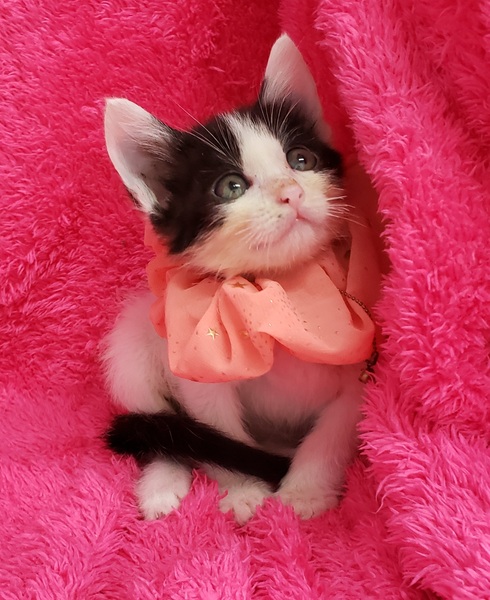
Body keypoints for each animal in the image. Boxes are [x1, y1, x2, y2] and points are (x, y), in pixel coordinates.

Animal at [102, 34, 374, 524]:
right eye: (230, 187)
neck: (278, 291)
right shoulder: (196, 357)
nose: (292, 192)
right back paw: (161, 484)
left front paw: (305, 492)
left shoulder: (363, 360)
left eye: (300, 160)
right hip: (133, 340)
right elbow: (216, 432)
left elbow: (334, 428)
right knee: (162, 427)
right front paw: (247, 490)